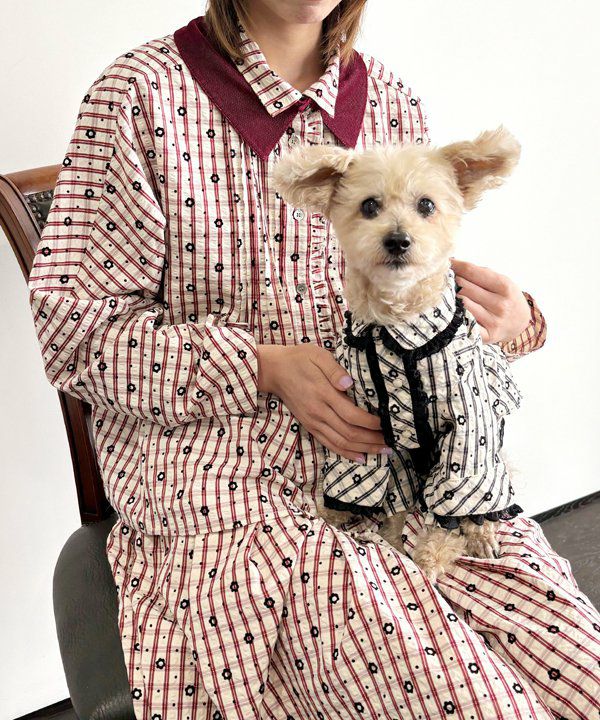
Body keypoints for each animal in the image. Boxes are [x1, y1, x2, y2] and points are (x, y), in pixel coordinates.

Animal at [273, 127, 524, 580]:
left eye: (426, 204)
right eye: (369, 205)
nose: (397, 239)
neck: (397, 323)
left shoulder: (468, 427)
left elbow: (457, 498)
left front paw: (433, 554)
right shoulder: (367, 425)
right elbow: (362, 478)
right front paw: (338, 512)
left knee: (485, 501)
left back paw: (479, 535)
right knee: (400, 503)